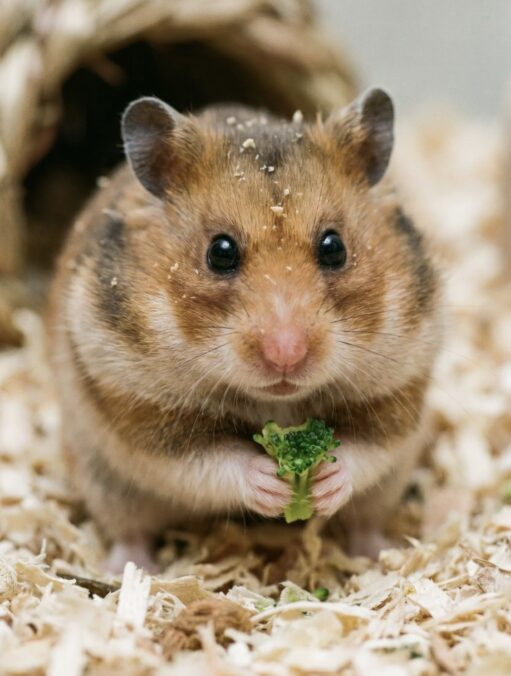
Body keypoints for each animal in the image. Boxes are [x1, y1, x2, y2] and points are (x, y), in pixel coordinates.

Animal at [48, 88, 442, 570]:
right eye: (220, 252)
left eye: (334, 247)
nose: (286, 354)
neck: (278, 404)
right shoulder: (140, 408)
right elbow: (210, 461)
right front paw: (269, 483)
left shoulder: (399, 389)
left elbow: (365, 449)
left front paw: (326, 482)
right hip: (104, 479)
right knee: (129, 530)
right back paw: (132, 568)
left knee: (366, 521)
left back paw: (375, 555)